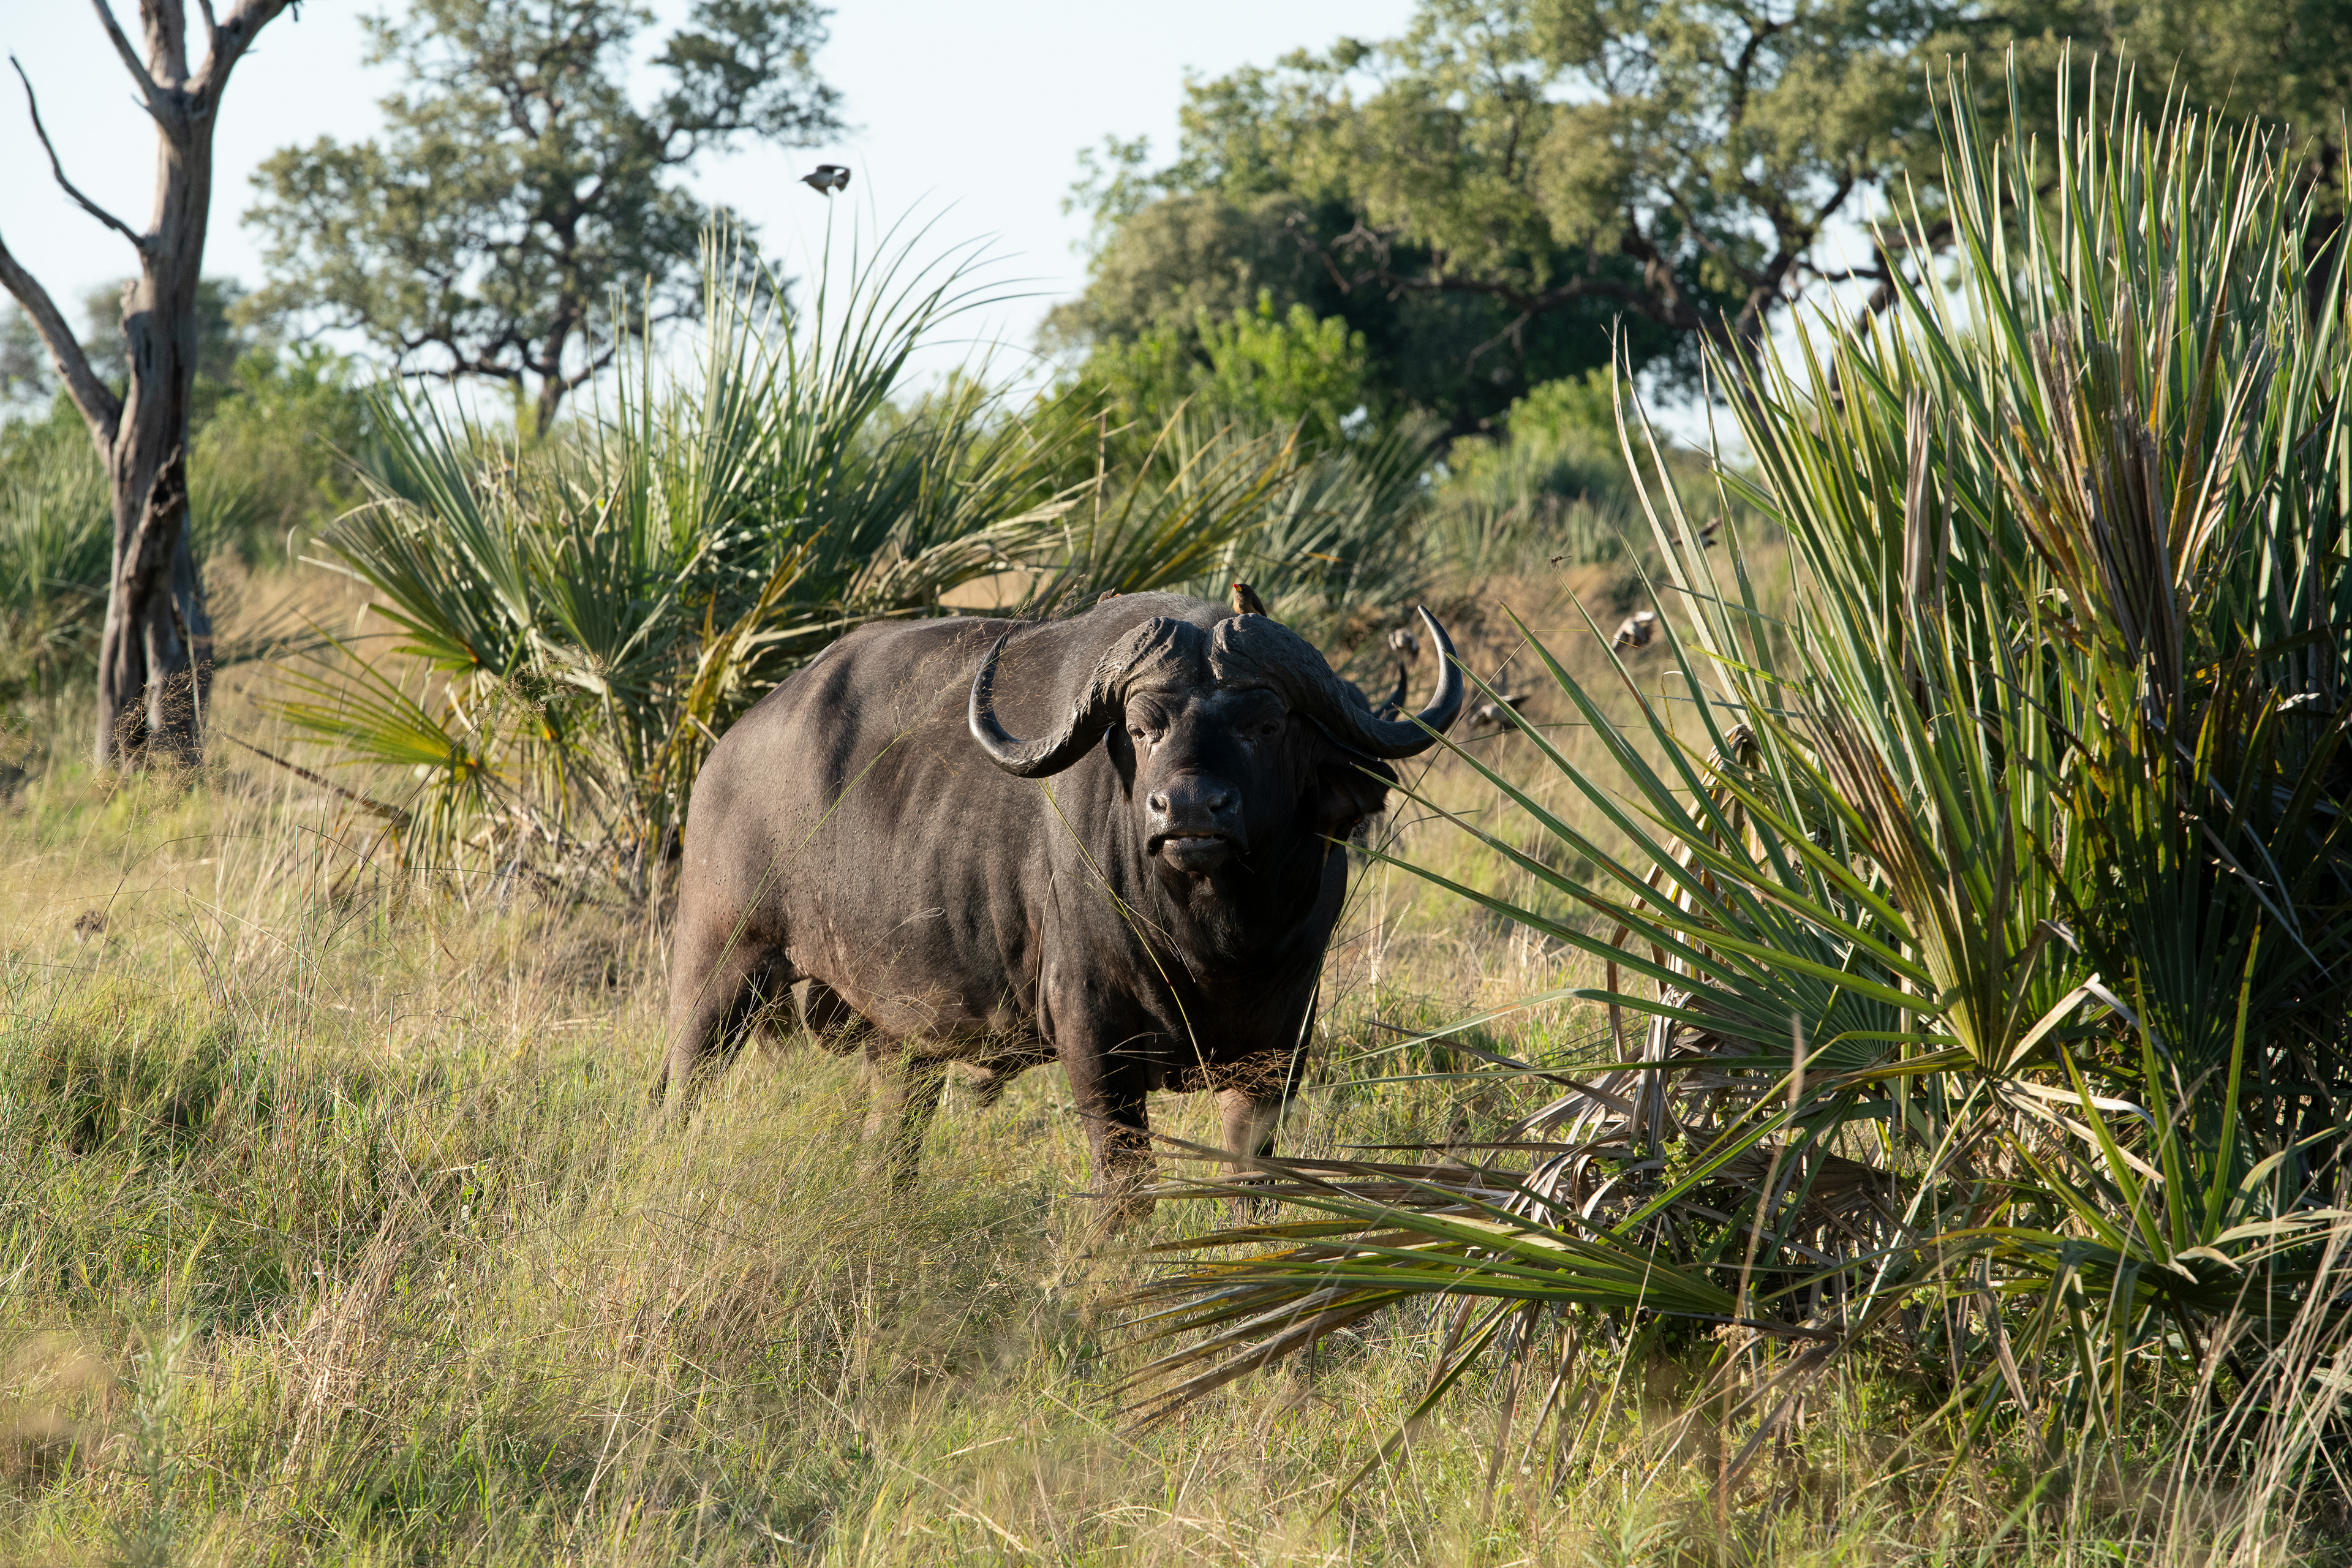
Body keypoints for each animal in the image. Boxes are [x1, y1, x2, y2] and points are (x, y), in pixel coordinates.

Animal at [657, 591, 1462, 1218]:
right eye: (1142, 726)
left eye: (1264, 725)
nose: (1188, 810)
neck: (1214, 943)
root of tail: (723, 754)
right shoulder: (1093, 1037)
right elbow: (1126, 1183)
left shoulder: (1280, 1044)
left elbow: (1253, 1177)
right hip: (715, 974)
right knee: (678, 1094)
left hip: (899, 1040)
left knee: (891, 1143)